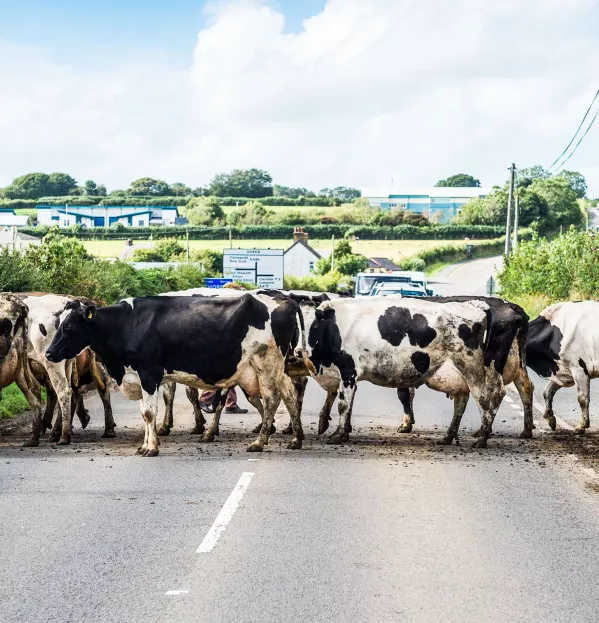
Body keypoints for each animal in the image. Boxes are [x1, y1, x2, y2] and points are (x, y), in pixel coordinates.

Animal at [44, 292, 312, 458]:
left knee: (272, 400)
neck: (126, 325)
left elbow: (149, 413)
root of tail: (285, 299)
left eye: (69, 327)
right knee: (289, 396)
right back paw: (296, 439)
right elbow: (144, 414)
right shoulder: (137, 377)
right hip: (277, 368)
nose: (48, 353)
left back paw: (259, 442)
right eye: (58, 326)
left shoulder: (149, 373)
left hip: (265, 364)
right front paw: (145, 446)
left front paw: (151, 448)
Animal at [300, 298, 506, 448]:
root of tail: (472, 304)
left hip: (471, 368)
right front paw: (340, 432)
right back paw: (448, 437)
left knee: (484, 399)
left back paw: (481, 439)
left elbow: (343, 405)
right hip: (459, 374)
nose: (298, 349)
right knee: (461, 403)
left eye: (311, 326)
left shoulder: (348, 370)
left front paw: (337, 435)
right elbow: (347, 403)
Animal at [396, 296, 532, 444]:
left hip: (491, 363)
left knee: (494, 393)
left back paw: (483, 432)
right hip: (519, 364)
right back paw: (527, 430)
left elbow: (404, 394)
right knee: (526, 387)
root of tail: (512, 307)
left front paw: (406, 425)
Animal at [528, 302, 599, 434]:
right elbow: (547, 392)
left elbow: (582, 398)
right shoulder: (562, 370)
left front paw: (581, 426)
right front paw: (550, 418)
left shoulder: (579, 369)